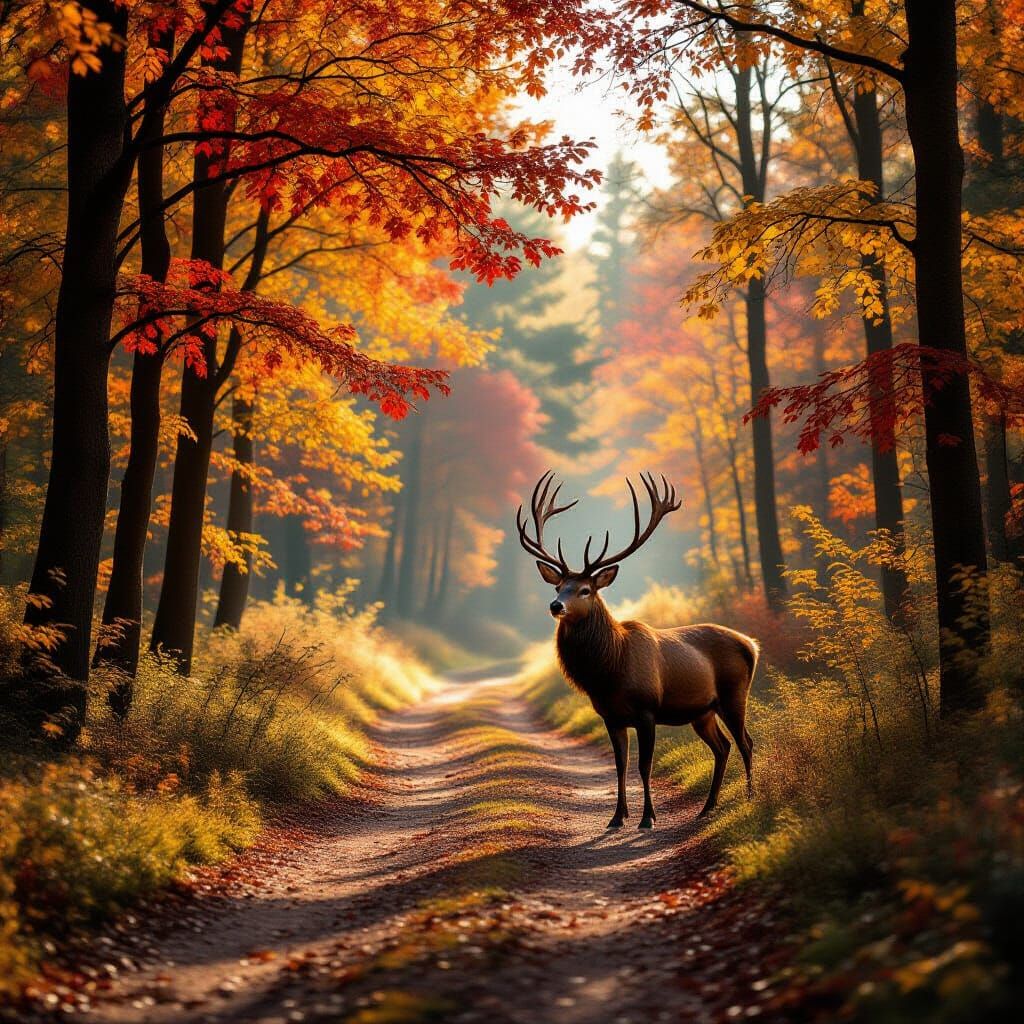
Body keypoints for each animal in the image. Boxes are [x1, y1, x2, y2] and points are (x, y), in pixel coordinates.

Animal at [516, 471, 758, 830]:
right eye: (559, 586)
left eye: (585, 590)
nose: (556, 605)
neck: (609, 672)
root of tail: (752, 644)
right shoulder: (611, 716)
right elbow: (620, 766)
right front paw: (617, 817)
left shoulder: (647, 710)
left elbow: (644, 766)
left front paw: (648, 818)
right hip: (702, 711)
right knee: (723, 747)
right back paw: (707, 807)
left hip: (734, 694)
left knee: (746, 742)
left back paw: (751, 798)